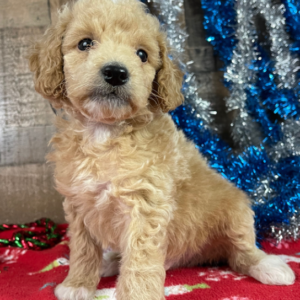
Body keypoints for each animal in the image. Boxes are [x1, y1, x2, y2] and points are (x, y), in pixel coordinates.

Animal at [28, 0, 296, 300]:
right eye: (85, 43)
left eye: (142, 54)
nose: (116, 72)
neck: (105, 131)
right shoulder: (78, 203)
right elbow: (84, 249)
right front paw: (78, 285)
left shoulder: (146, 203)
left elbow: (140, 258)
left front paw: (136, 295)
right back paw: (109, 262)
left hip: (236, 210)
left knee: (242, 252)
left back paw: (270, 266)